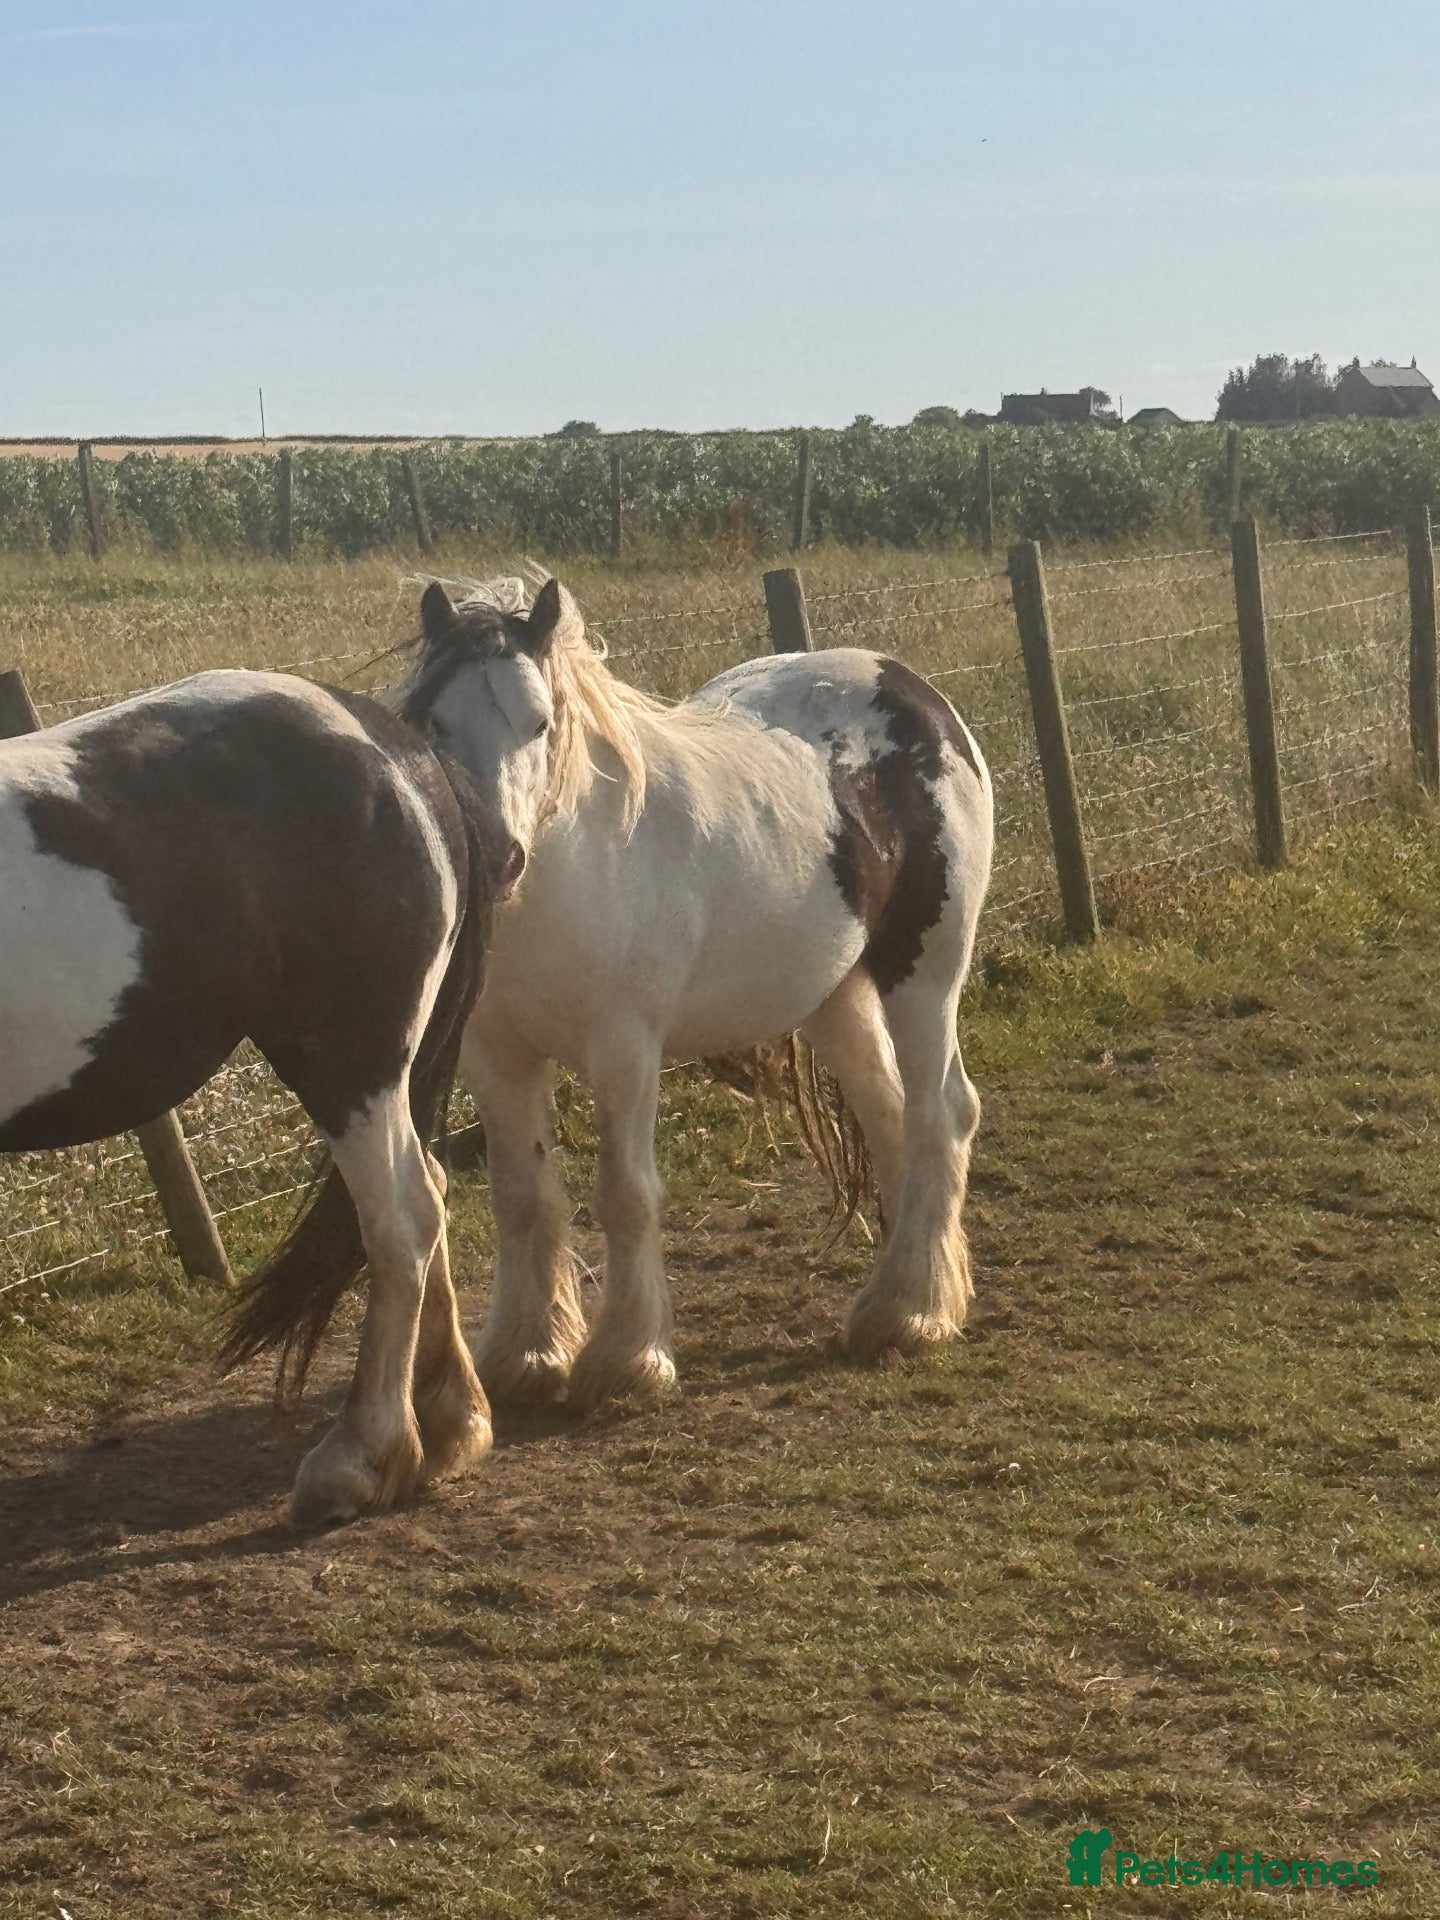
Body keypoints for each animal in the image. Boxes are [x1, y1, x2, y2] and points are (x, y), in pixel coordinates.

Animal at [0, 669, 512, 1527]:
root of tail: (394, 747)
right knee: (432, 1193)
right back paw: (448, 1427)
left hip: (349, 1064)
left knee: (402, 1220)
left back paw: (359, 1458)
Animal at [399, 576, 994, 1411]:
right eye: (434, 721)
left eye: (540, 721)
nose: (496, 854)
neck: (579, 864)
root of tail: (918, 693)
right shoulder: (497, 1056)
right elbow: (522, 1196)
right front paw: (528, 1353)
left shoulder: (624, 1048)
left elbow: (625, 1193)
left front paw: (627, 1358)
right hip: (833, 995)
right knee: (891, 1114)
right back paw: (897, 1296)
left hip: (925, 974)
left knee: (942, 1112)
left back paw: (914, 1313)